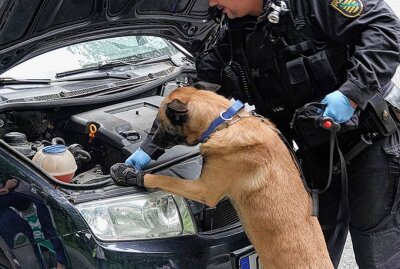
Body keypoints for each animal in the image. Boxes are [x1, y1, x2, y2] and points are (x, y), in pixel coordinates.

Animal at [145, 86, 334, 268]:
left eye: (161, 123)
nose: (152, 142)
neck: (224, 121)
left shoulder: (204, 190)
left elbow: (166, 180)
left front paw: (141, 176)